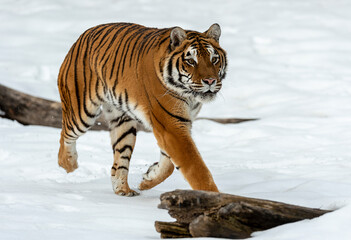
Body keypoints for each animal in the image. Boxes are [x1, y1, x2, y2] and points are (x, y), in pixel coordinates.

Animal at [57, 22, 228, 196]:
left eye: (214, 59)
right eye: (191, 61)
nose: (210, 81)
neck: (190, 96)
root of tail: (83, 35)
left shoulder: (178, 124)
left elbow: (169, 163)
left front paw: (147, 180)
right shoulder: (171, 125)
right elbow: (196, 167)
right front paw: (213, 195)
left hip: (123, 121)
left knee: (119, 160)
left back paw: (123, 190)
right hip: (82, 112)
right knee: (65, 134)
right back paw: (69, 164)